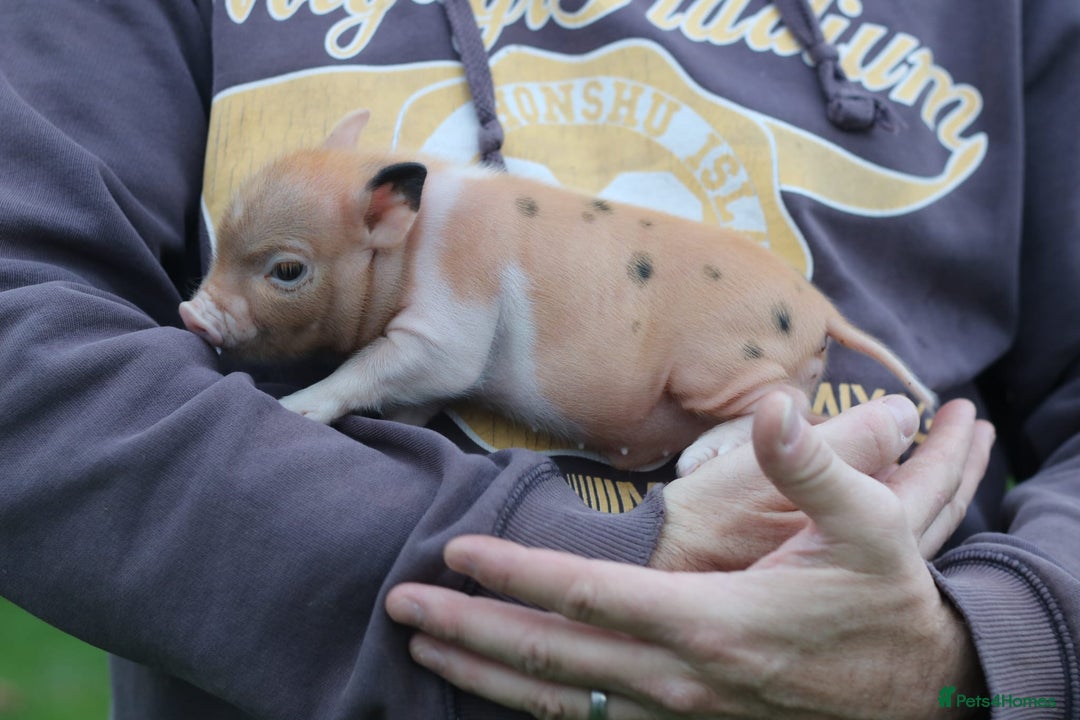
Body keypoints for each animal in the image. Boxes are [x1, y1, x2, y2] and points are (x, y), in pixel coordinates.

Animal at [179, 108, 936, 476]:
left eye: (287, 270)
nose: (190, 313)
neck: (416, 245)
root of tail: (823, 311)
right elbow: (416, 394)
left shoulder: (452, 318)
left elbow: (378, 364)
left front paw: (297, 409)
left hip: (719, 364)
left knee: (785, 405)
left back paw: (697, 462)